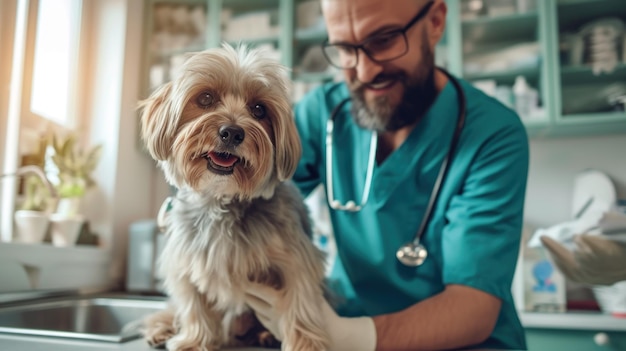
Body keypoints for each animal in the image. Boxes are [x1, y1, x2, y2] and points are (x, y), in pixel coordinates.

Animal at [140, 44, 330, 351]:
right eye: (205, 98)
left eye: (259, 109)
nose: (231, 132)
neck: (222, 200)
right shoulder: (186, 260)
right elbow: (192, 304)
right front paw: (194, 340)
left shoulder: (296, 256)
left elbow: (301, 301)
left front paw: (306, 345)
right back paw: (162, 328)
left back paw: (264, 335)